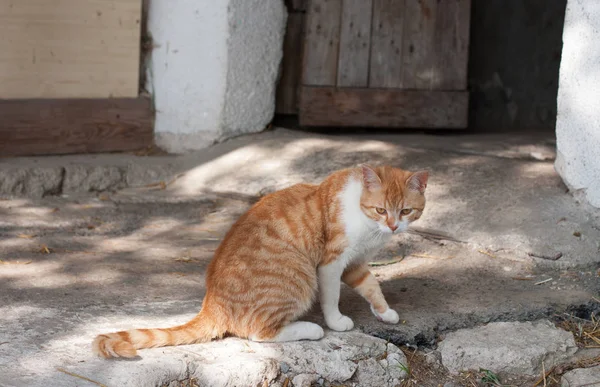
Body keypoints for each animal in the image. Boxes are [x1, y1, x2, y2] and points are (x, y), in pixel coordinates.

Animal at [92, 165, 426, 360]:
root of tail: (212, 302)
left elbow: (371, 286)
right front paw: (336, 322)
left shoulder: (355, 263)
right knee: (258, 332)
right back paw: (311, 329)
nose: (393, 226)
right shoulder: (331, 263)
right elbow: (331, 298)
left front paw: (384, 312)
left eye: (406, 211)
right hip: (300, 278)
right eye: (381, 210)